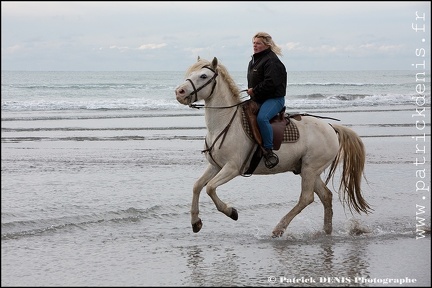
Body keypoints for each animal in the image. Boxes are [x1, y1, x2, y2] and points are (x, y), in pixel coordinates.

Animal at [175, 57, 372, 237]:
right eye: (189, 74)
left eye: (203, 75)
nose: (179, 92)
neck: (225, 122)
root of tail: (331, 127)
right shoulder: (215, 166)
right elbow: (197, 186)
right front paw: (195, 222)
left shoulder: (232, 168)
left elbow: (210, 188)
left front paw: (231, 212)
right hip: (309, 170)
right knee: (326, 196)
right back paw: (326, 231)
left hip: (310, 169)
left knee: (306, 198)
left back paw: (279, 228)